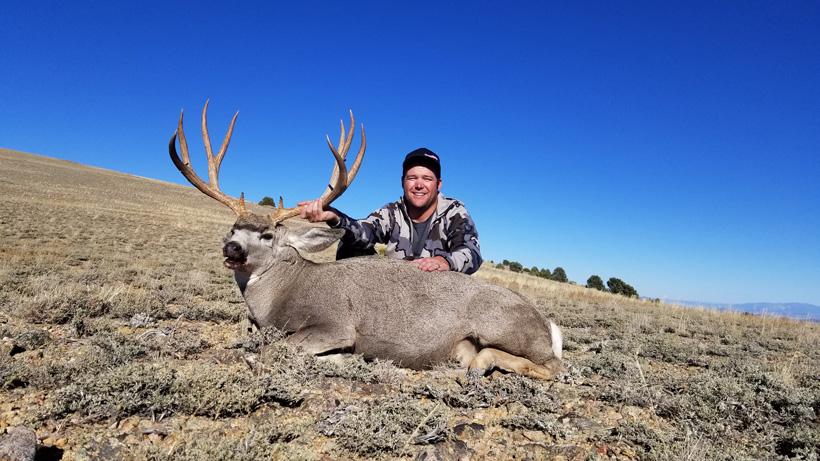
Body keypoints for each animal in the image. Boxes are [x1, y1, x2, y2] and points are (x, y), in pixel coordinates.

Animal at [168, 101, 564, 380]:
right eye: (232, 229)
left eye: (267, 235)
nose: (232, 249)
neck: (284, 295)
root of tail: (547, 325)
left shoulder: (335, 324)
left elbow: (271, 351)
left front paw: (344, 358)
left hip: (503, 326)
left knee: (551, 367)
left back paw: (482, 364)